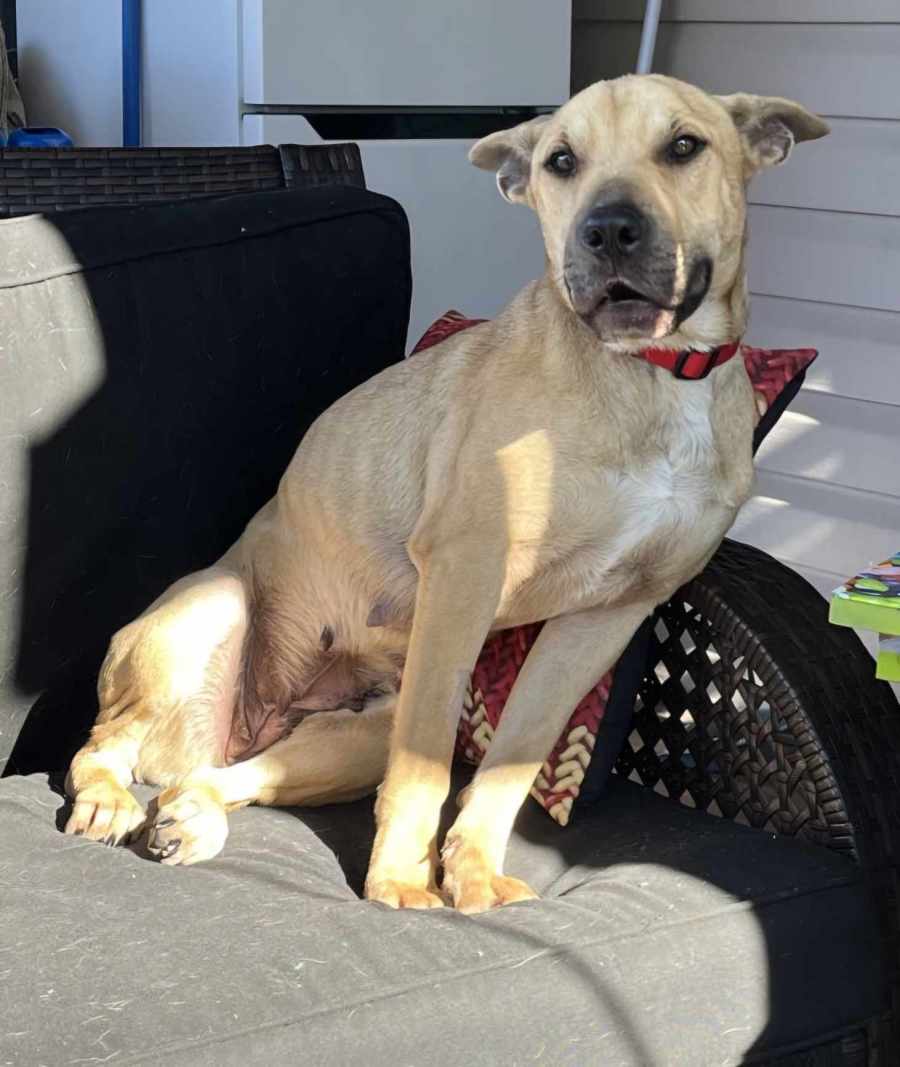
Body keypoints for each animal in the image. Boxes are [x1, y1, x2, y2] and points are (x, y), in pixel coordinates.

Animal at [64, 75, 828, 913]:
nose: (607, 231)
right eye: (562, 161)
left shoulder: (605, 618)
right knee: (100, 742)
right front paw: (401, 879)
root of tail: (245, 721)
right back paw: (108, 799)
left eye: (684, 145)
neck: (651, 373)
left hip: (351, 739)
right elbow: (427, 767)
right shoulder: (465, 573)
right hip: (207, 615)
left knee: (216, 776)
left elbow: (513, 760)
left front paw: (473, 869)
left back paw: (191, 817)